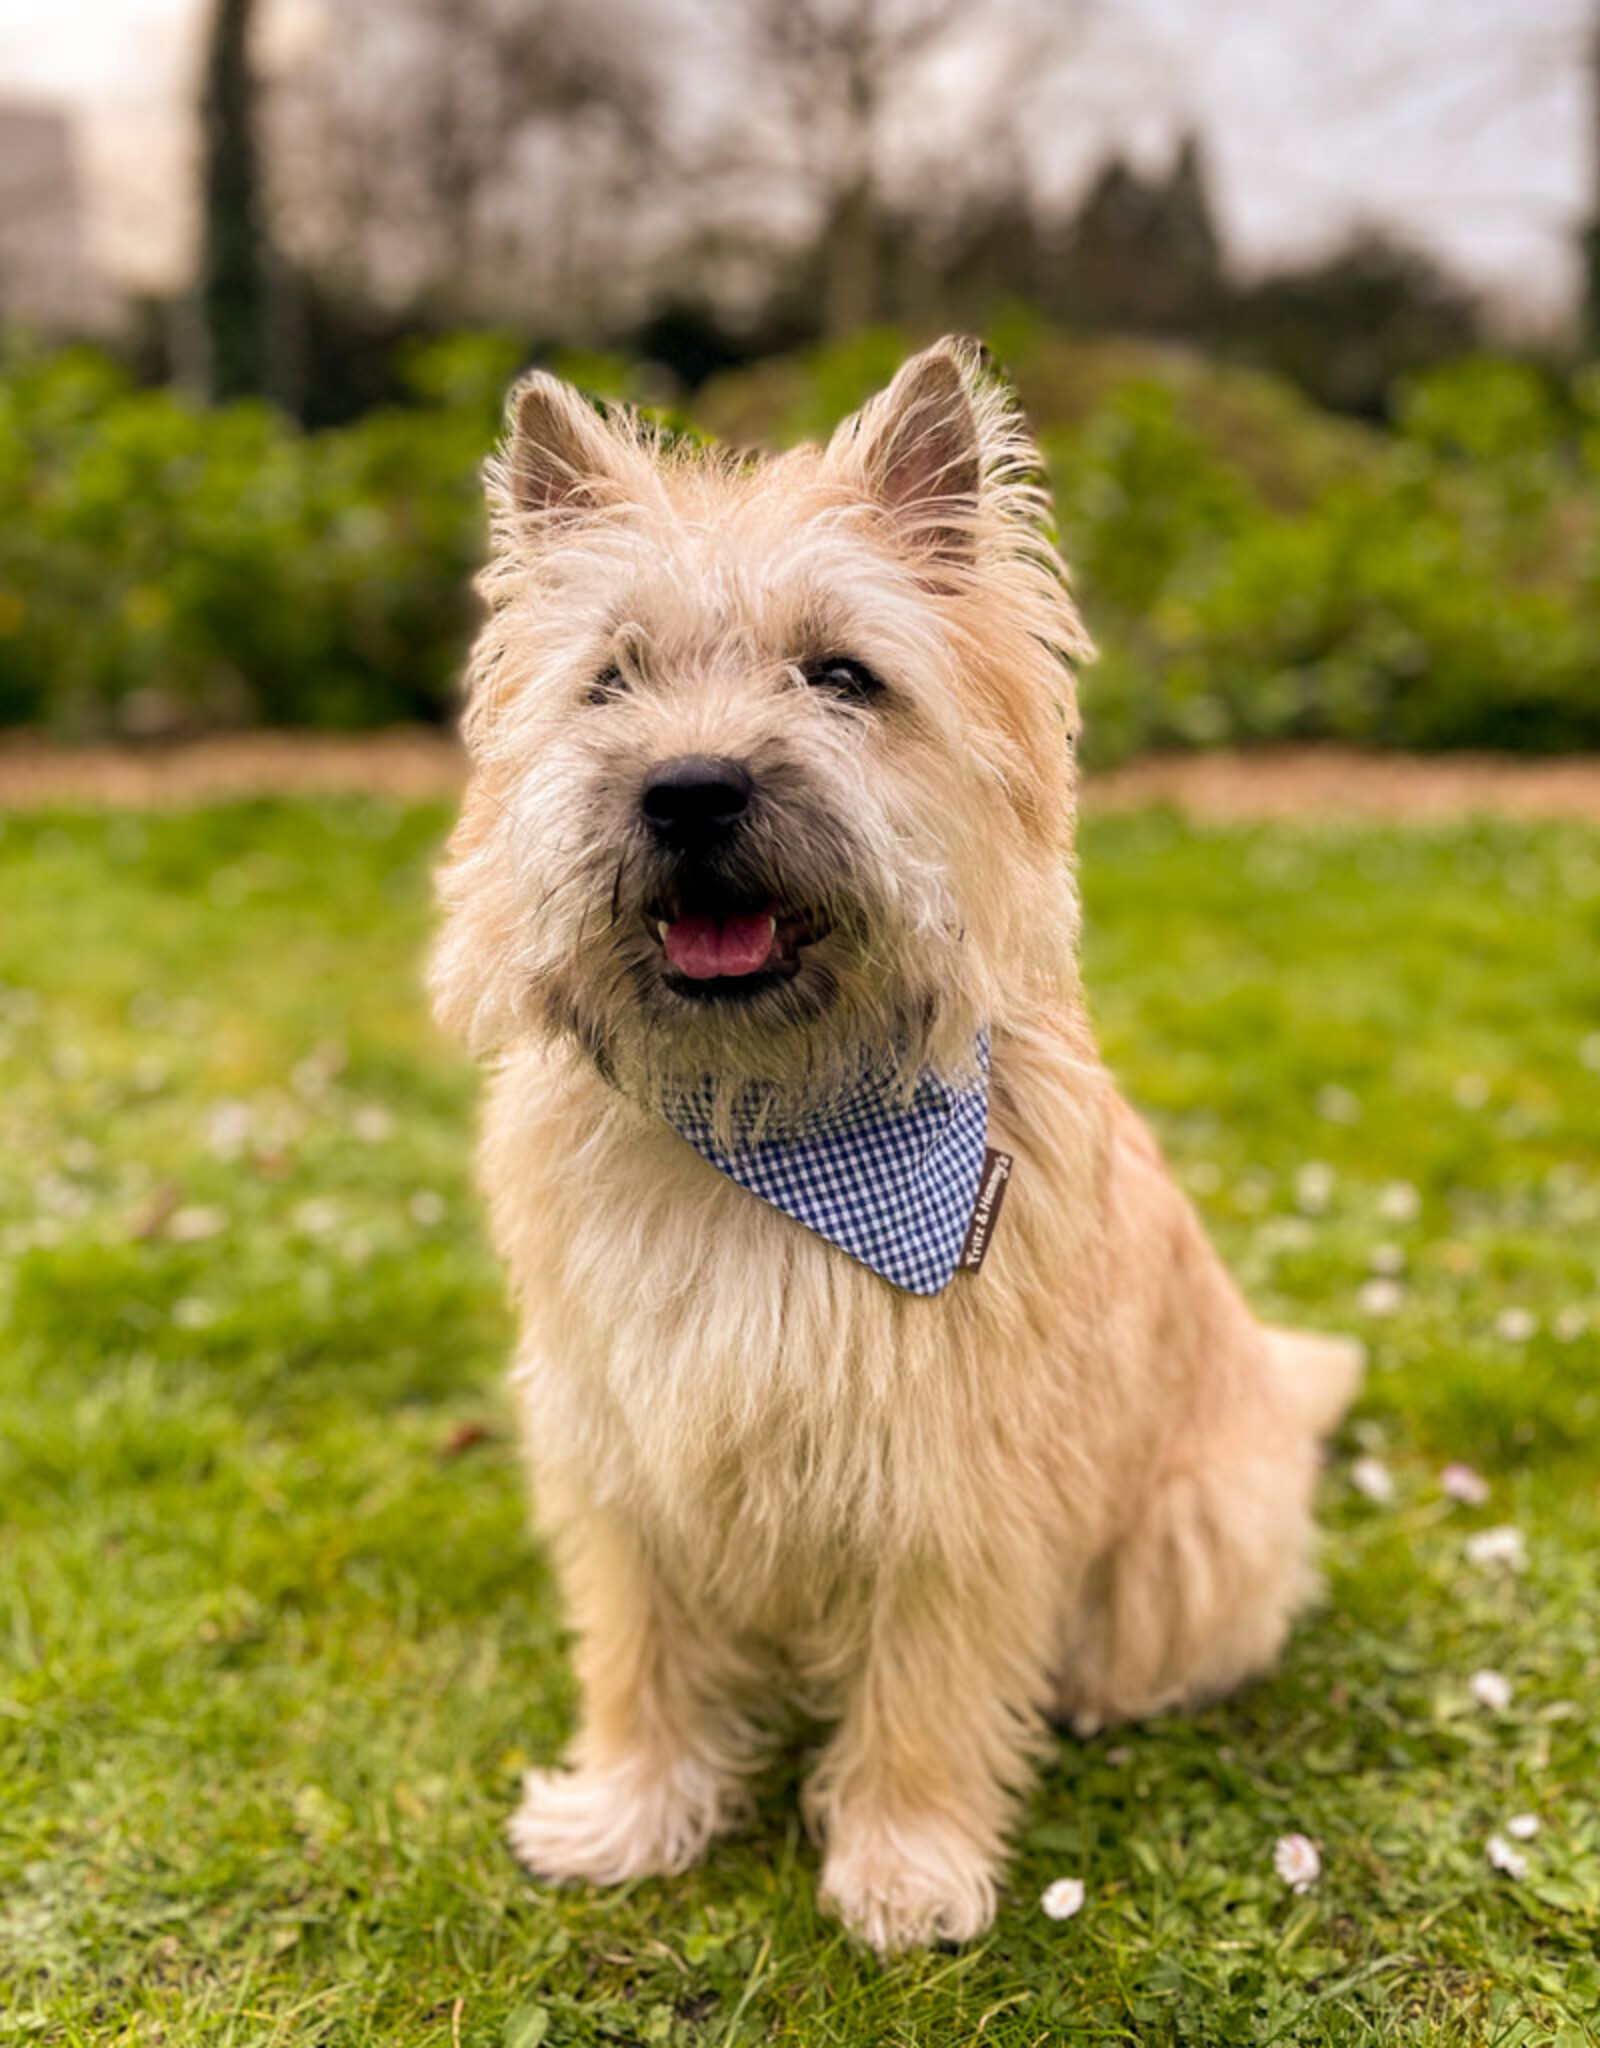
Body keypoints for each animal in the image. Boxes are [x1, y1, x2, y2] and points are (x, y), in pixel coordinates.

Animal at [436, 339, 1360, 1949]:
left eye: (842, 676)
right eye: (611, 677)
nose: (690, 788)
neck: (769, 1119)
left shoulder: (948, 1483)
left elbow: (925, 1689)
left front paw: (904, 1868)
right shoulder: (622, 1452)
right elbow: (641, 1653)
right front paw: (629, 1813)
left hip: (1191, 1526)